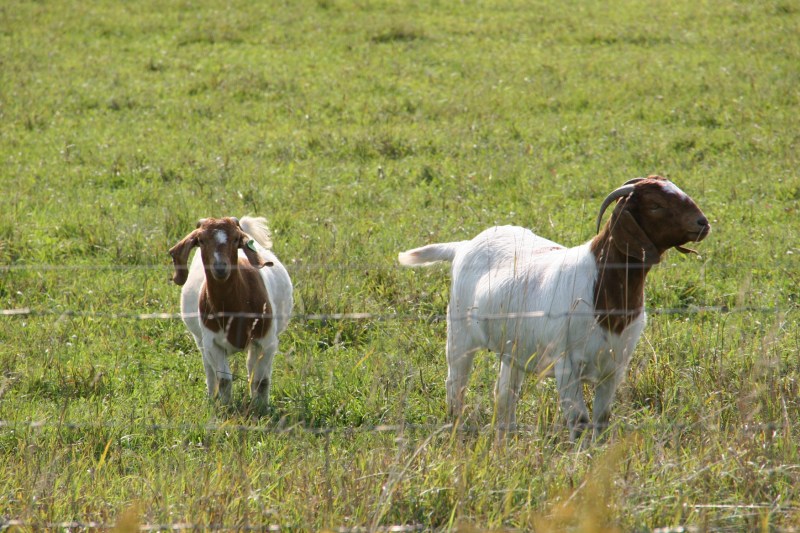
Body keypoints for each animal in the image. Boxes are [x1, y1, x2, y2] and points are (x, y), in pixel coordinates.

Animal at [169, 216, 293, 406]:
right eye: (201, 240)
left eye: (236, 239)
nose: (220, 268)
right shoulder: (212, 344)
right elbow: (224, 380)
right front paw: (226, 407)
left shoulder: (266, 341)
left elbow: (261, 381)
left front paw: (261, 408)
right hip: (200, 340)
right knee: (209, 369)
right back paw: (211, 396)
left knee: (251, 367)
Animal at [398, 176, 710, 441]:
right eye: (655, 205)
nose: (702, 222)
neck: (601, 287)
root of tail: (463, 246)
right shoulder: (566, 364)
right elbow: (580, 422)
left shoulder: (614, 367)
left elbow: (601, 420)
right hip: (459, 334)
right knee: (456, 385)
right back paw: (457, 432)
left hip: (515, 347)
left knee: (505, 393)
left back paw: (507, 438)